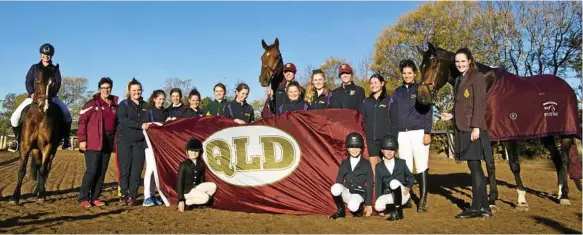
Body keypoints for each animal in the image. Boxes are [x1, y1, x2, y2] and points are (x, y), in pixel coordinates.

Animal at [418, 42, 580, 211]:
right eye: (421, 67)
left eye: (434, 65)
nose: (422, 96)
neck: (487, 88)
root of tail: (567, 87)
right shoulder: (487, 137)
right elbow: (490, 166)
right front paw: (492, 200)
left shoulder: (509, 135)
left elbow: (514, 165)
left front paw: (521, 200)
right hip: (546, 135)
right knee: (557, 160)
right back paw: (559, 193)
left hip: (566, 134)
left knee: (565, 160)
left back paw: (565, 196)